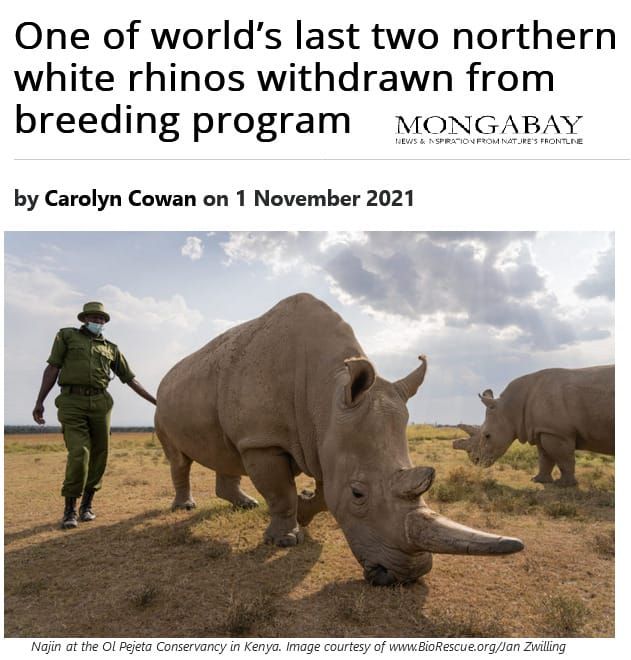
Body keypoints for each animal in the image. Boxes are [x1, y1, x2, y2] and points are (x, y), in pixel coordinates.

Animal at [155, 293, 523, 585]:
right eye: (358, 494)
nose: (406, 576)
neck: (325, 390)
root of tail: (167, 376)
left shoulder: (325, 436)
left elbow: (323, 493)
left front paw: (304, 510)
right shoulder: (263, 440)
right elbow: (280, 493)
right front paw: (284, 540)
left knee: (227, 452)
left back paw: (246, 504)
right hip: (165, 400)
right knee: (178, 459)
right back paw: (185, 507)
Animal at [454, 366, 614, 486]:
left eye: (487, 435)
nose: (476, 461)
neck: (511, 408)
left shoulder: (558, 433)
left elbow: (564, 458)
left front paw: (565, 485)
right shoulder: (544, 430)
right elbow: (545, 457)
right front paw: (538, 480)